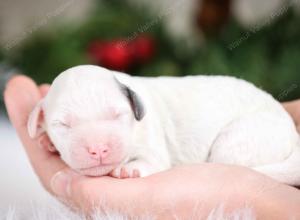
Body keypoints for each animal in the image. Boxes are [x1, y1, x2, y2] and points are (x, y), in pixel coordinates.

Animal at [27, 64, 300, 185]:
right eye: (63, 124)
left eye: (117, 115)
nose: (97, 149)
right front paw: (47, 141)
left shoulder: (152, 142)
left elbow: (150, 159)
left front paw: (130, 169)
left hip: (240, 138)